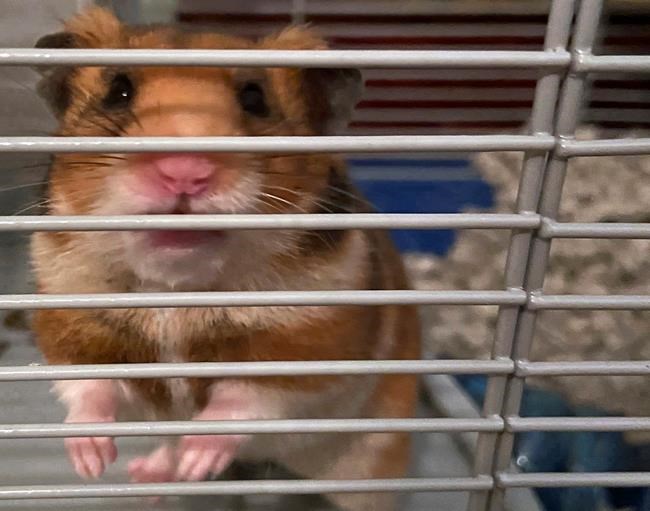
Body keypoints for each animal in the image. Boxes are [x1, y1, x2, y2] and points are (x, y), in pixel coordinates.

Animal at [30, 8, 421, 511]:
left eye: (254, 98)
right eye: (119, 89)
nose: (184, 173)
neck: (174, 293)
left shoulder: (307, 346)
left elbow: (243, 400)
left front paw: (202, 458)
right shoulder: (70, 324)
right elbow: (87, 389)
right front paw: (90, 462)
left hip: (371, 461)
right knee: (164, 445)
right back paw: (149, 478)